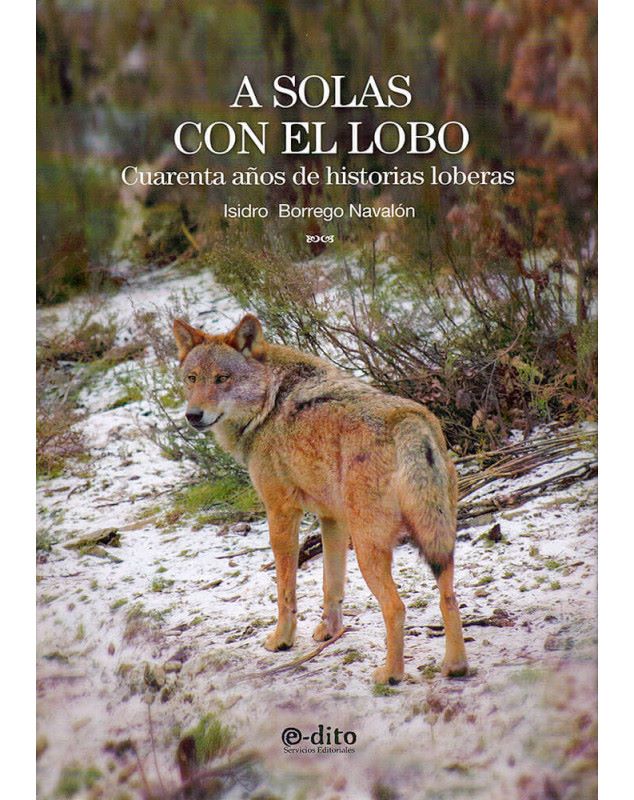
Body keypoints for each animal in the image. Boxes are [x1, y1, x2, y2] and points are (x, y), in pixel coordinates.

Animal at [173, 314, 468, 683]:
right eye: (192, 379)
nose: (193, 415)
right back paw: (455, 666)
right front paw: (329, 632)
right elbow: (332, 585)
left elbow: (285, 590)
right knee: (449, 598)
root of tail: (409, 421)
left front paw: (281, 640)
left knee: (396, 607)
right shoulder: (332, 519)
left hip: (369, 549)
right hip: (437, 542)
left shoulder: (281, 512)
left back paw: (390, 674)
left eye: (222, 379)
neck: (268, 404)